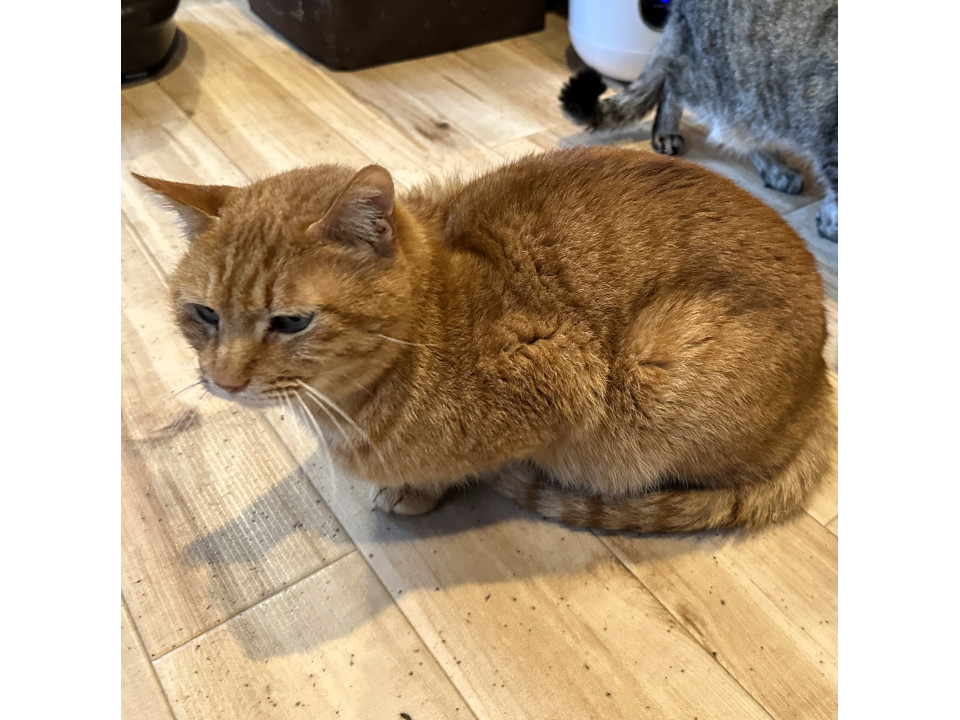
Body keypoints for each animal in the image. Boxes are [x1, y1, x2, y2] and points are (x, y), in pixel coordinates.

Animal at [134, 146, 836, 534]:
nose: (224, 381)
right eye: (204, 314)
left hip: (655, 365)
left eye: (290, 322)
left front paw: (422, 490)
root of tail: (822, 387)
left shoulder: (562, 388)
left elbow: (467, 463)